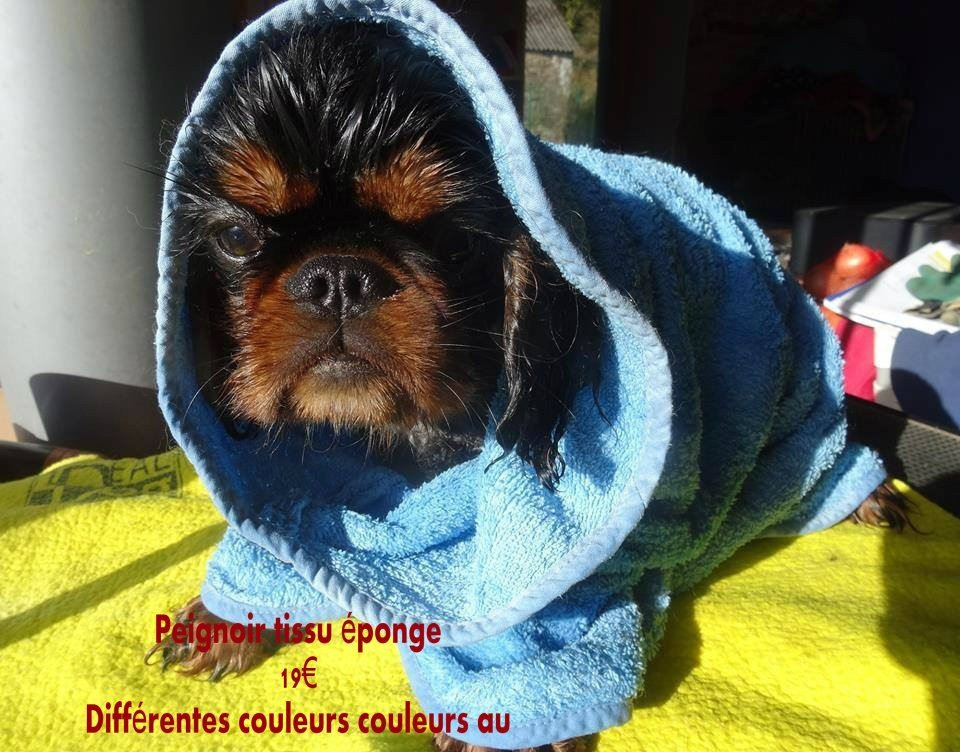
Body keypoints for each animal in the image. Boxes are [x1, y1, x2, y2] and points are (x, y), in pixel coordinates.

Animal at [149, 22, 908, 752]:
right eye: (238, 238)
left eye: (455, 241)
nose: (338, 275)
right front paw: (223, 619)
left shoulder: (566, 552)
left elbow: (533, 632)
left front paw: (511, 732)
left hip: (797, 396)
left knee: (822, 457)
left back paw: (867, 500)